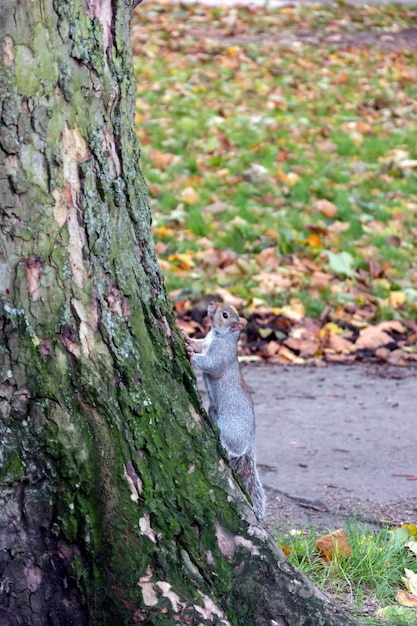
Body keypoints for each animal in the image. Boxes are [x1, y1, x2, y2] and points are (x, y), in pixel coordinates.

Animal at [184, 300, 264, 520]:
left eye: (225, 315)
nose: (212, 302)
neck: (218, 335)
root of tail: (250, 440)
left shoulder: (221, 356)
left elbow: (210, 363)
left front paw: (191, 354)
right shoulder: (205, 342)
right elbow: (198, 343)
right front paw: (186, 337)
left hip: (230, 428)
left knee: (233, 448)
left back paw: (226, 447)